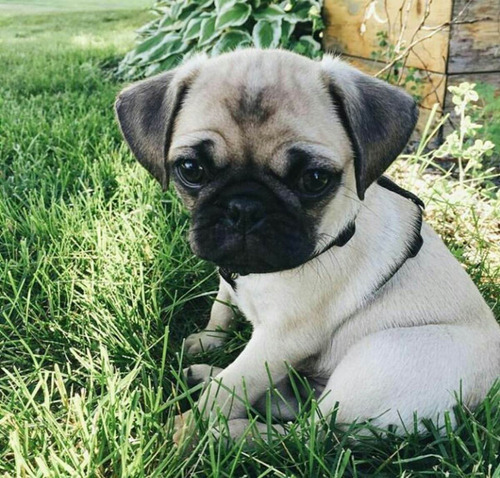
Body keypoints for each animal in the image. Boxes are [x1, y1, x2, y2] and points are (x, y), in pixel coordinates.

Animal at [115, 49, 500, 440]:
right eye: (192, 170)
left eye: (314, 180)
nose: (244, 207)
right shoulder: (230, 276)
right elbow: (222, 308)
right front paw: (209, 341)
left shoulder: (281, 340)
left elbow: (227, 392)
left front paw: (185, 432)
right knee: (287, 404)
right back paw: (205, 375)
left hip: (379, 357)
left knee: (306, 430)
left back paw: (228, 433)